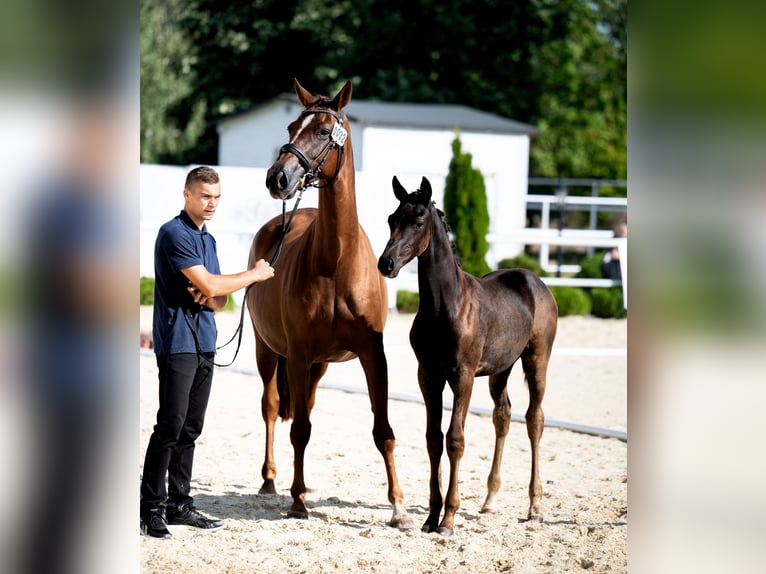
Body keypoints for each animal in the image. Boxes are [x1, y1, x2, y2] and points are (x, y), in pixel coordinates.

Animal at [246, 81, 414, 532]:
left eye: (324, 131)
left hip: (318, 366)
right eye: (291, 127)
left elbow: (384, 430)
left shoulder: (372, 353)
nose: (278, 177)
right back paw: (272, 481)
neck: (337, 262)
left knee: (304, 409)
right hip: (267, 350)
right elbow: (298, 429)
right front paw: (297, 501)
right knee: (272, 408)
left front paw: (399, 507)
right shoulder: (298, 354)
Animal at [376, 178, 560, 536]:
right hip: (500, 370)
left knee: (535, 419)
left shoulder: (462, 375)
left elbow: (455, 439)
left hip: (537, 360)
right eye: (392, 219)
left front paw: (448, 519)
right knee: (503, 416)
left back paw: (535, 506)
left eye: (418, 222)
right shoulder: (428, 375)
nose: (386, 264)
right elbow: (433, 439)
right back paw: (489, 500)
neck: (445, 305)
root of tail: (534, 280)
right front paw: (431, 517)